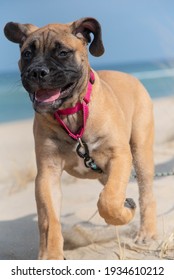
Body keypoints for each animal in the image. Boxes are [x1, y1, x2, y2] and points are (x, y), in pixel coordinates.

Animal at [3, 17, 156, 258]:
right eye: (27, 54)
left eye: (63, 52)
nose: (37, 72)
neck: (71, 112)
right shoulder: (47, 174)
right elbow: (50, 220)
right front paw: (51, 255)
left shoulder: (119, 156)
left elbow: (109, 201)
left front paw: (125, 212)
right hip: (104, 172)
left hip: (140, 152)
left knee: (146, 194)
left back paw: (147, 232)